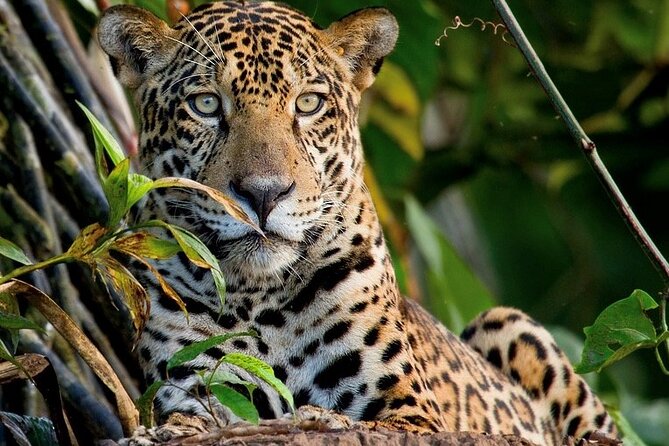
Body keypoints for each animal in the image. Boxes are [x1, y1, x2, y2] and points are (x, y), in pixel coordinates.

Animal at [97, 2, 618, 444]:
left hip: (510, 324)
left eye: (307, 104)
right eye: (205, 105)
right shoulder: (198, 387)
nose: (264, 193)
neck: (257, 297)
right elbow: (191, 419)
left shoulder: (410, 412)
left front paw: (319, 417)